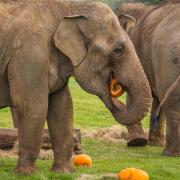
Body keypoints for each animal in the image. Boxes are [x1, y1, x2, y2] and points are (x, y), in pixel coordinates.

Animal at [0, 0, 152, 174]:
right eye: (118, 51)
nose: (118, 100)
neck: (70, 7)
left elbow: (62, 107)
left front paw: (64, 172)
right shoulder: (29, 52)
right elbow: (33, 105)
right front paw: (27, 173)